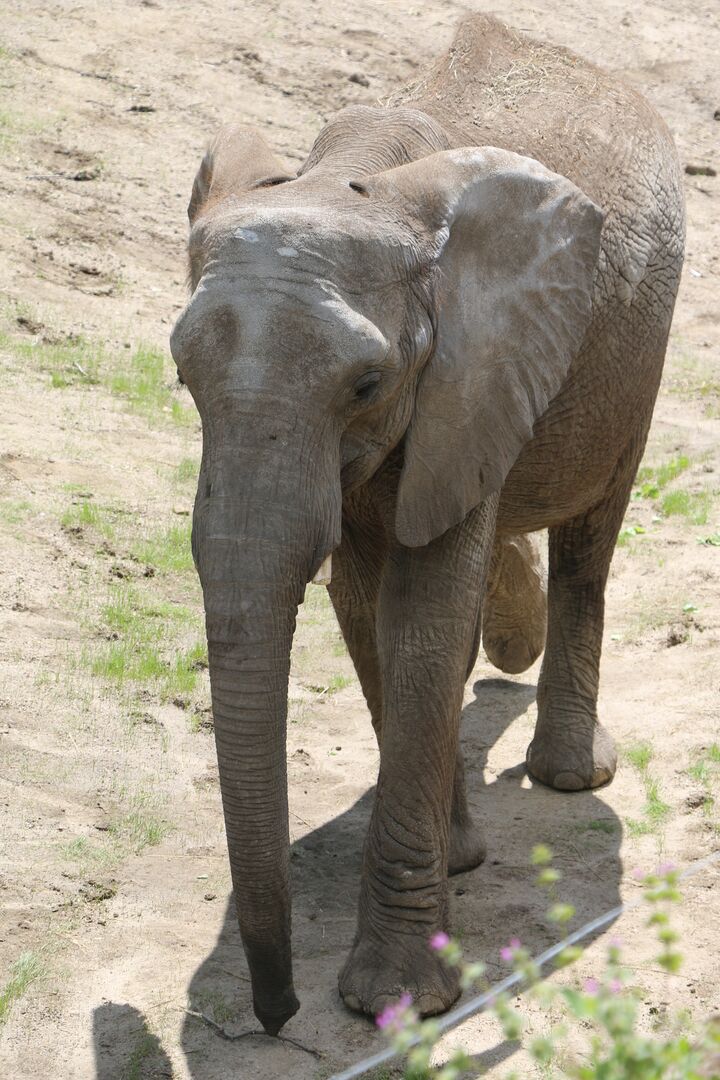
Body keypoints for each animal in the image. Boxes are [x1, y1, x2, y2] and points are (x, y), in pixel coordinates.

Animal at [170, 10, 686, 1036]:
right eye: (182, 375)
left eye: (367, 384)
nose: (278, 1014)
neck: (355, 175)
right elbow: (370, 607)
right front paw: (458, 860)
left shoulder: (471, 366)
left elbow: (426, 616)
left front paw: (395, 1000)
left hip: (639, 353)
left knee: (591, 539)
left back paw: (568, 771)